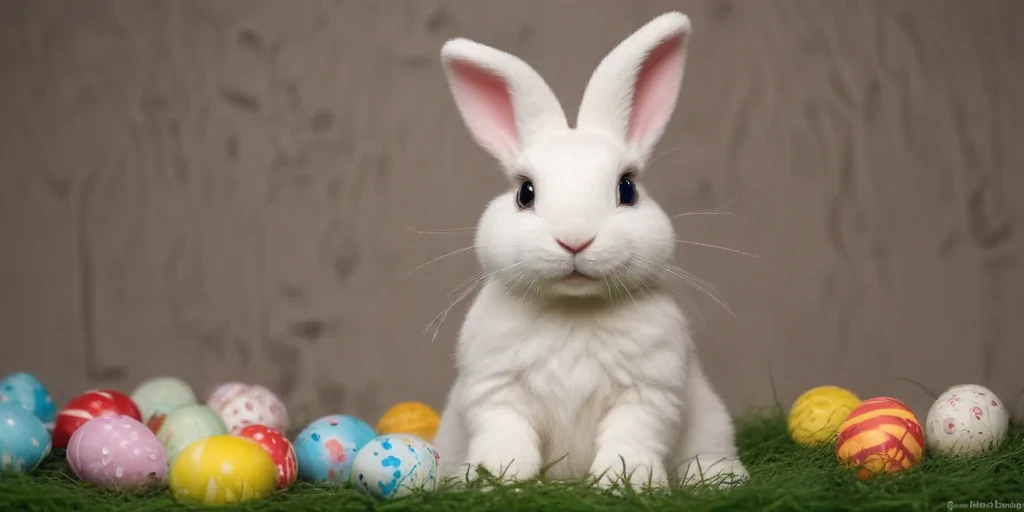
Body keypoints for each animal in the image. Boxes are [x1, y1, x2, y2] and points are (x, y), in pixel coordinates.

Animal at [430, 11, 749, 490]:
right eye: (525, 193)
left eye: (627, 189)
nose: (575, 238)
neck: (573, 310)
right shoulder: (495, 388)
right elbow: (505, 433)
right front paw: (499, 478)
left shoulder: (648, 392)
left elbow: (630, 437)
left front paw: (626, 481)